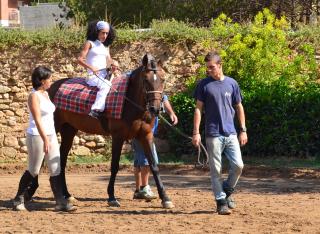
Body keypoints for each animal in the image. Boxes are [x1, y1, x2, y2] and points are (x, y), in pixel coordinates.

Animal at [48, 54, 172, 208]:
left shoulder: (146, 135)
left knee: (63, 160)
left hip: (69, 130)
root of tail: (51, 87)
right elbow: (114, 166)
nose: (155, 109)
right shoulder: (118, 137)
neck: (129, 101)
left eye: (163, 79)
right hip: (53, 127)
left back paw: (67, 195)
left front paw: (165, 198)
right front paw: (112, 197)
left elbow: (154, 166)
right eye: (145, 79)